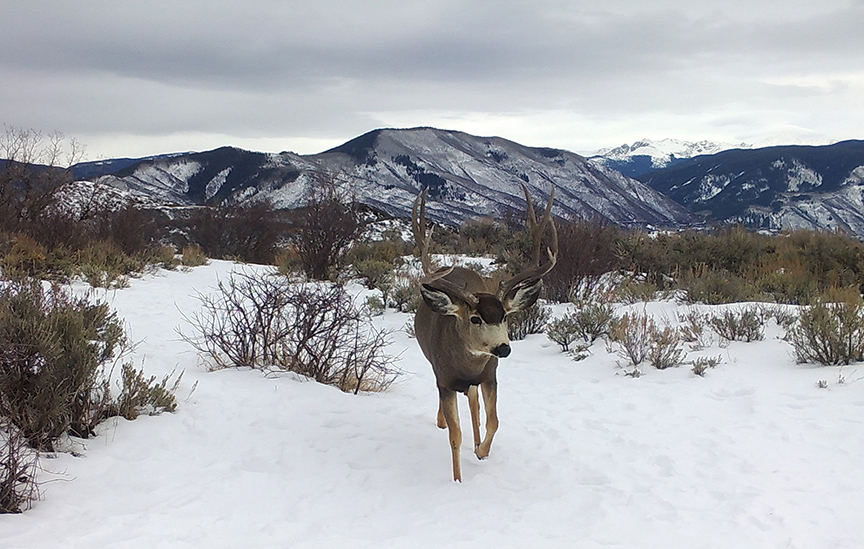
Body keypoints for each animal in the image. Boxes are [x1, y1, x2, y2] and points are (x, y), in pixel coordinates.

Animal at [414, 184, 560, 480]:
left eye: (503, 316)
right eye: (475, 318)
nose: (503, 348)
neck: (467, 364)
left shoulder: (490, 375)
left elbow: (494, 421)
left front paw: (482, 450)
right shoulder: (445, 379)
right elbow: (455, 436)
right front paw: (457, 480)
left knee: (475, 404)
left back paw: (477, 441)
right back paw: (442, 423)